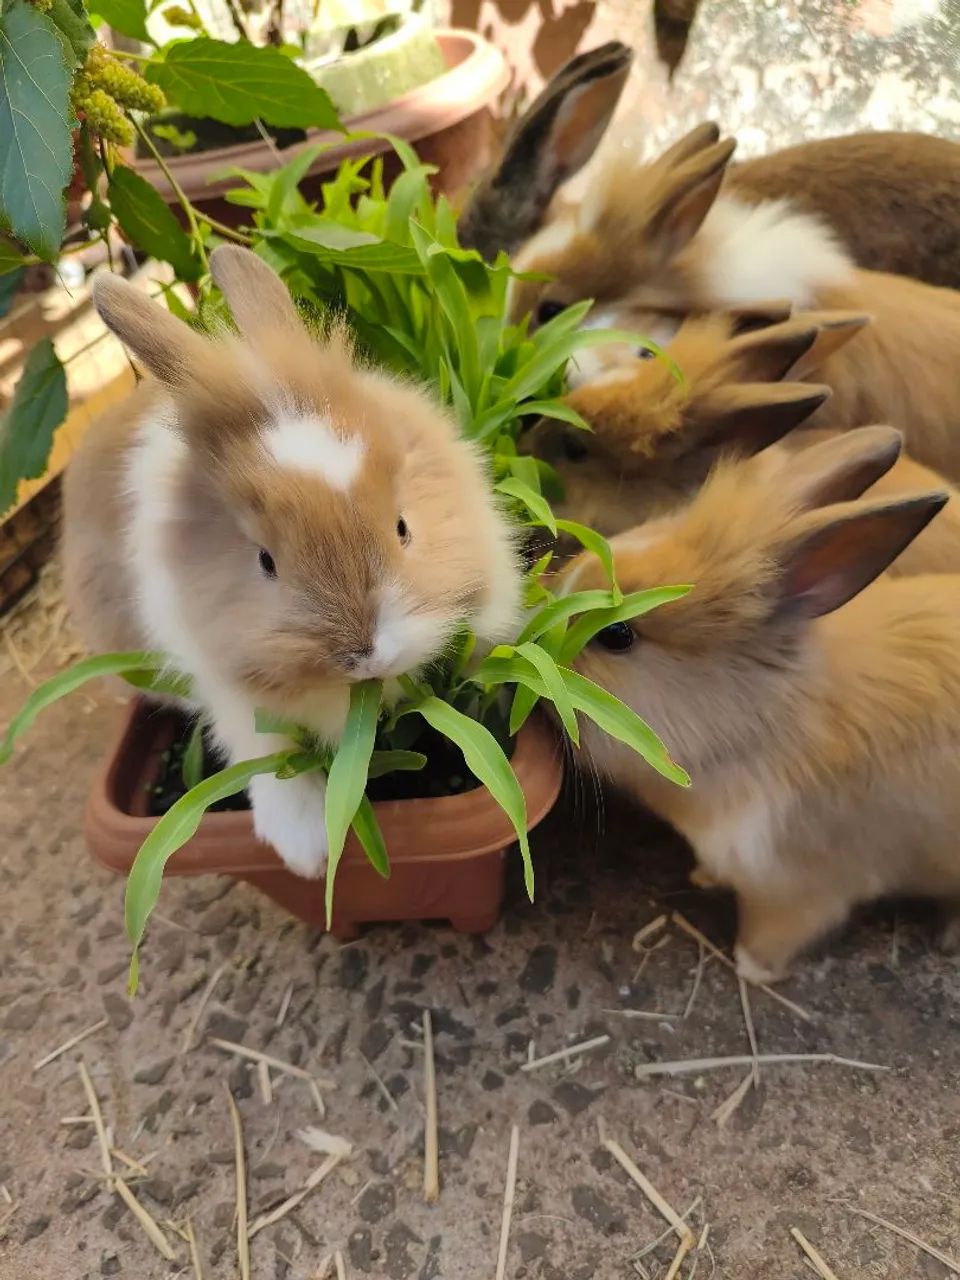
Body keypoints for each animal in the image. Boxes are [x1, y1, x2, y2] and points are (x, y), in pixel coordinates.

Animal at [62, 246, 523, 878]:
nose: (368, 655)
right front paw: (306, 851)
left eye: (403, 526)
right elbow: (265, 754)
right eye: (265, 561)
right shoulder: (227, 688)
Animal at [559, 428, 960, 981]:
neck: (759, 729)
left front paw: (751, 969)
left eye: (617, 635)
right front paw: (702, 877)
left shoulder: (801, 890)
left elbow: (774, 933)